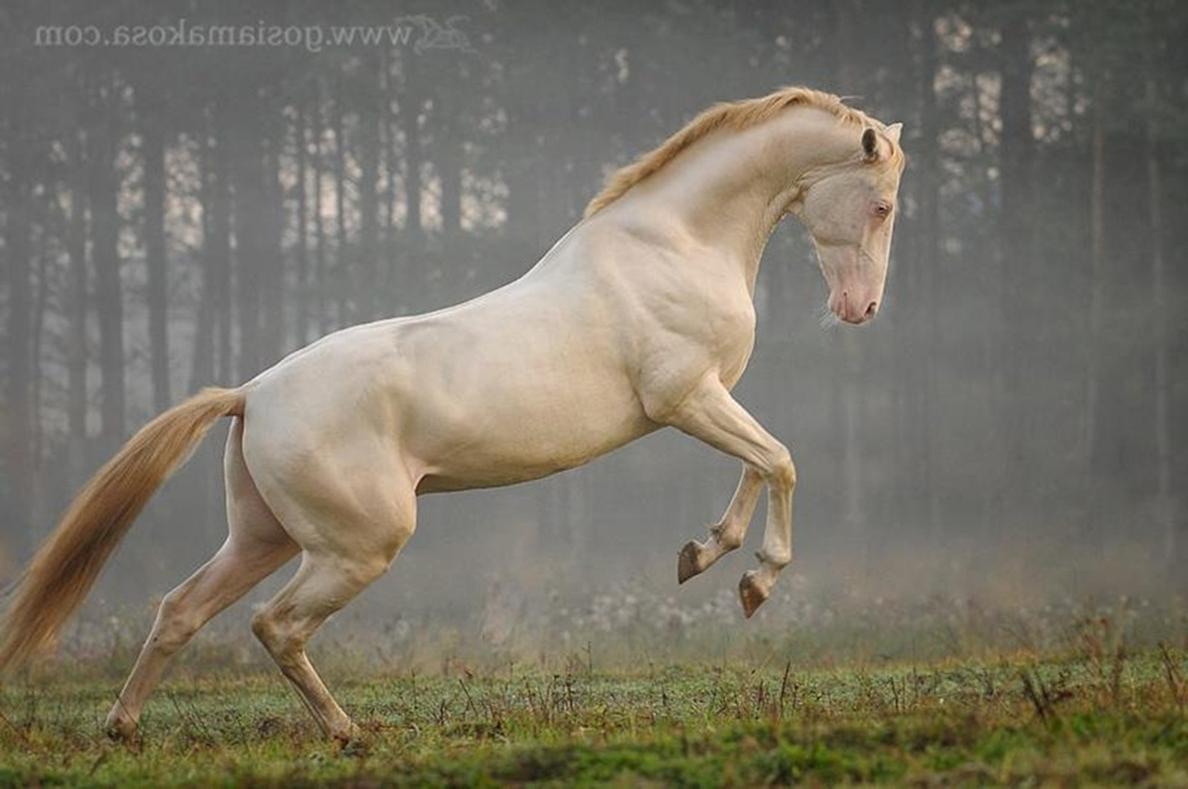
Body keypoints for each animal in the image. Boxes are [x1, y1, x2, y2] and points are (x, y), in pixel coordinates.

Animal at [0, 86, 905, 744]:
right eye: (883, 206)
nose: (860, 309)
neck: (676, 242)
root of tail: (253, 392)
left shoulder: (705, 395)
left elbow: (757, 464)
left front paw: (708, 555)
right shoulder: (687, 395)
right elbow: (779, 458)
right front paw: (755, 578)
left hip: (262, 537)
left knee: (181, 609)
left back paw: (122, 727)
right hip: (356, 546)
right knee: (276, 626)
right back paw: (348, 732)